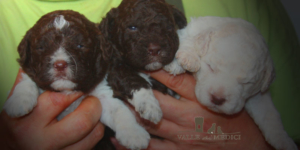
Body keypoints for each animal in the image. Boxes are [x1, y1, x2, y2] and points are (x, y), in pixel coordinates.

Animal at [164, 15, 298, 149]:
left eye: (247, 83)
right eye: (210, 67)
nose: (217, 99)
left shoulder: (258, 95)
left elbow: (269, 113)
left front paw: (283, 141)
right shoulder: (192, 29)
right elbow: (188, 38)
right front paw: (185, 59)